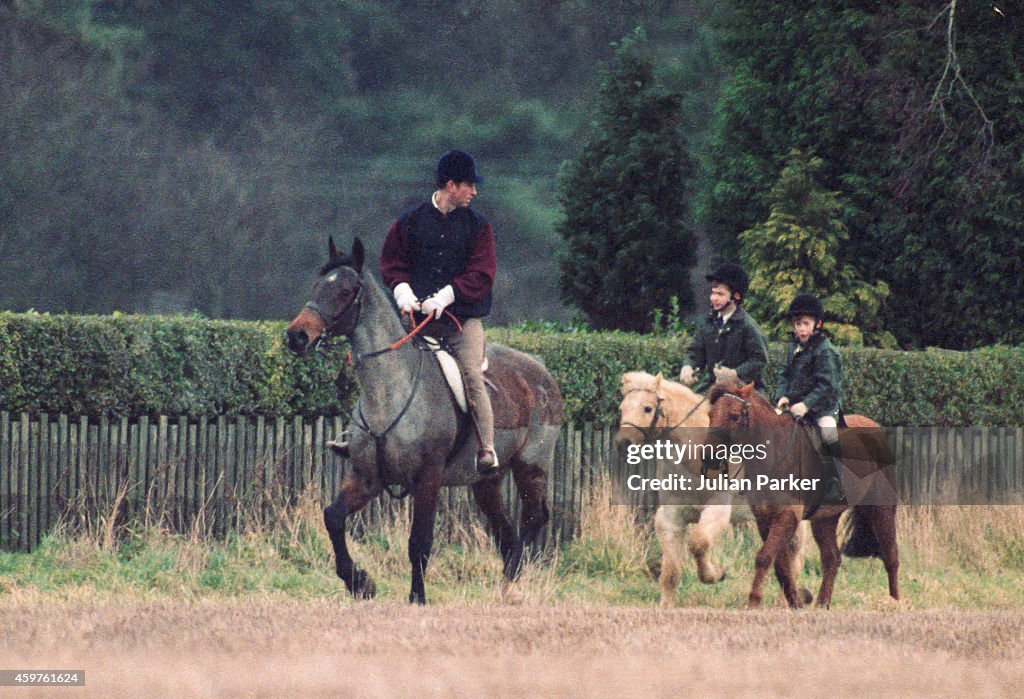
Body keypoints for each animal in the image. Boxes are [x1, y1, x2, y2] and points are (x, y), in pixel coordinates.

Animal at [284, 237, 565, 605]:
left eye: (345, 291)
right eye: (317, 286)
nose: (296, 337)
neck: (391, 391)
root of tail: (539, 370)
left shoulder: (427, 479)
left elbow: (419, 541)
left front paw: (417, 596)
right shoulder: (367, 477)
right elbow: (333, 517)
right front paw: (360, 583)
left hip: (532, 465)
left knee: (533, 518)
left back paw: (511, 583)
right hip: (486, 481)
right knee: (504, 528)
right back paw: (506, 584)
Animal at [614, 372, 806, 605]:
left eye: (647, 408)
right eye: (622, 408)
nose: (623, 443)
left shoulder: (717, 510)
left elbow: (699, 542)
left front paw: (716, 574)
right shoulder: (670, 518)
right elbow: (671, 572)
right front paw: (666, 605)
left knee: (795, 557)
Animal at [708, 380, 901, 609]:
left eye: (735, 416)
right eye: (710, 414)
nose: (709, 456)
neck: (775, 452)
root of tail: (874, 428)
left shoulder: (787, 516)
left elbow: (765, 557)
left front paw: (754, 602)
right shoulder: (765, 518)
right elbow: (780, 564)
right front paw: (795, 603)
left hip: (881, 508)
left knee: (890, 555)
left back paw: (895, 602)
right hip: (824, 519)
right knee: (832, 558)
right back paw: (822, 604)